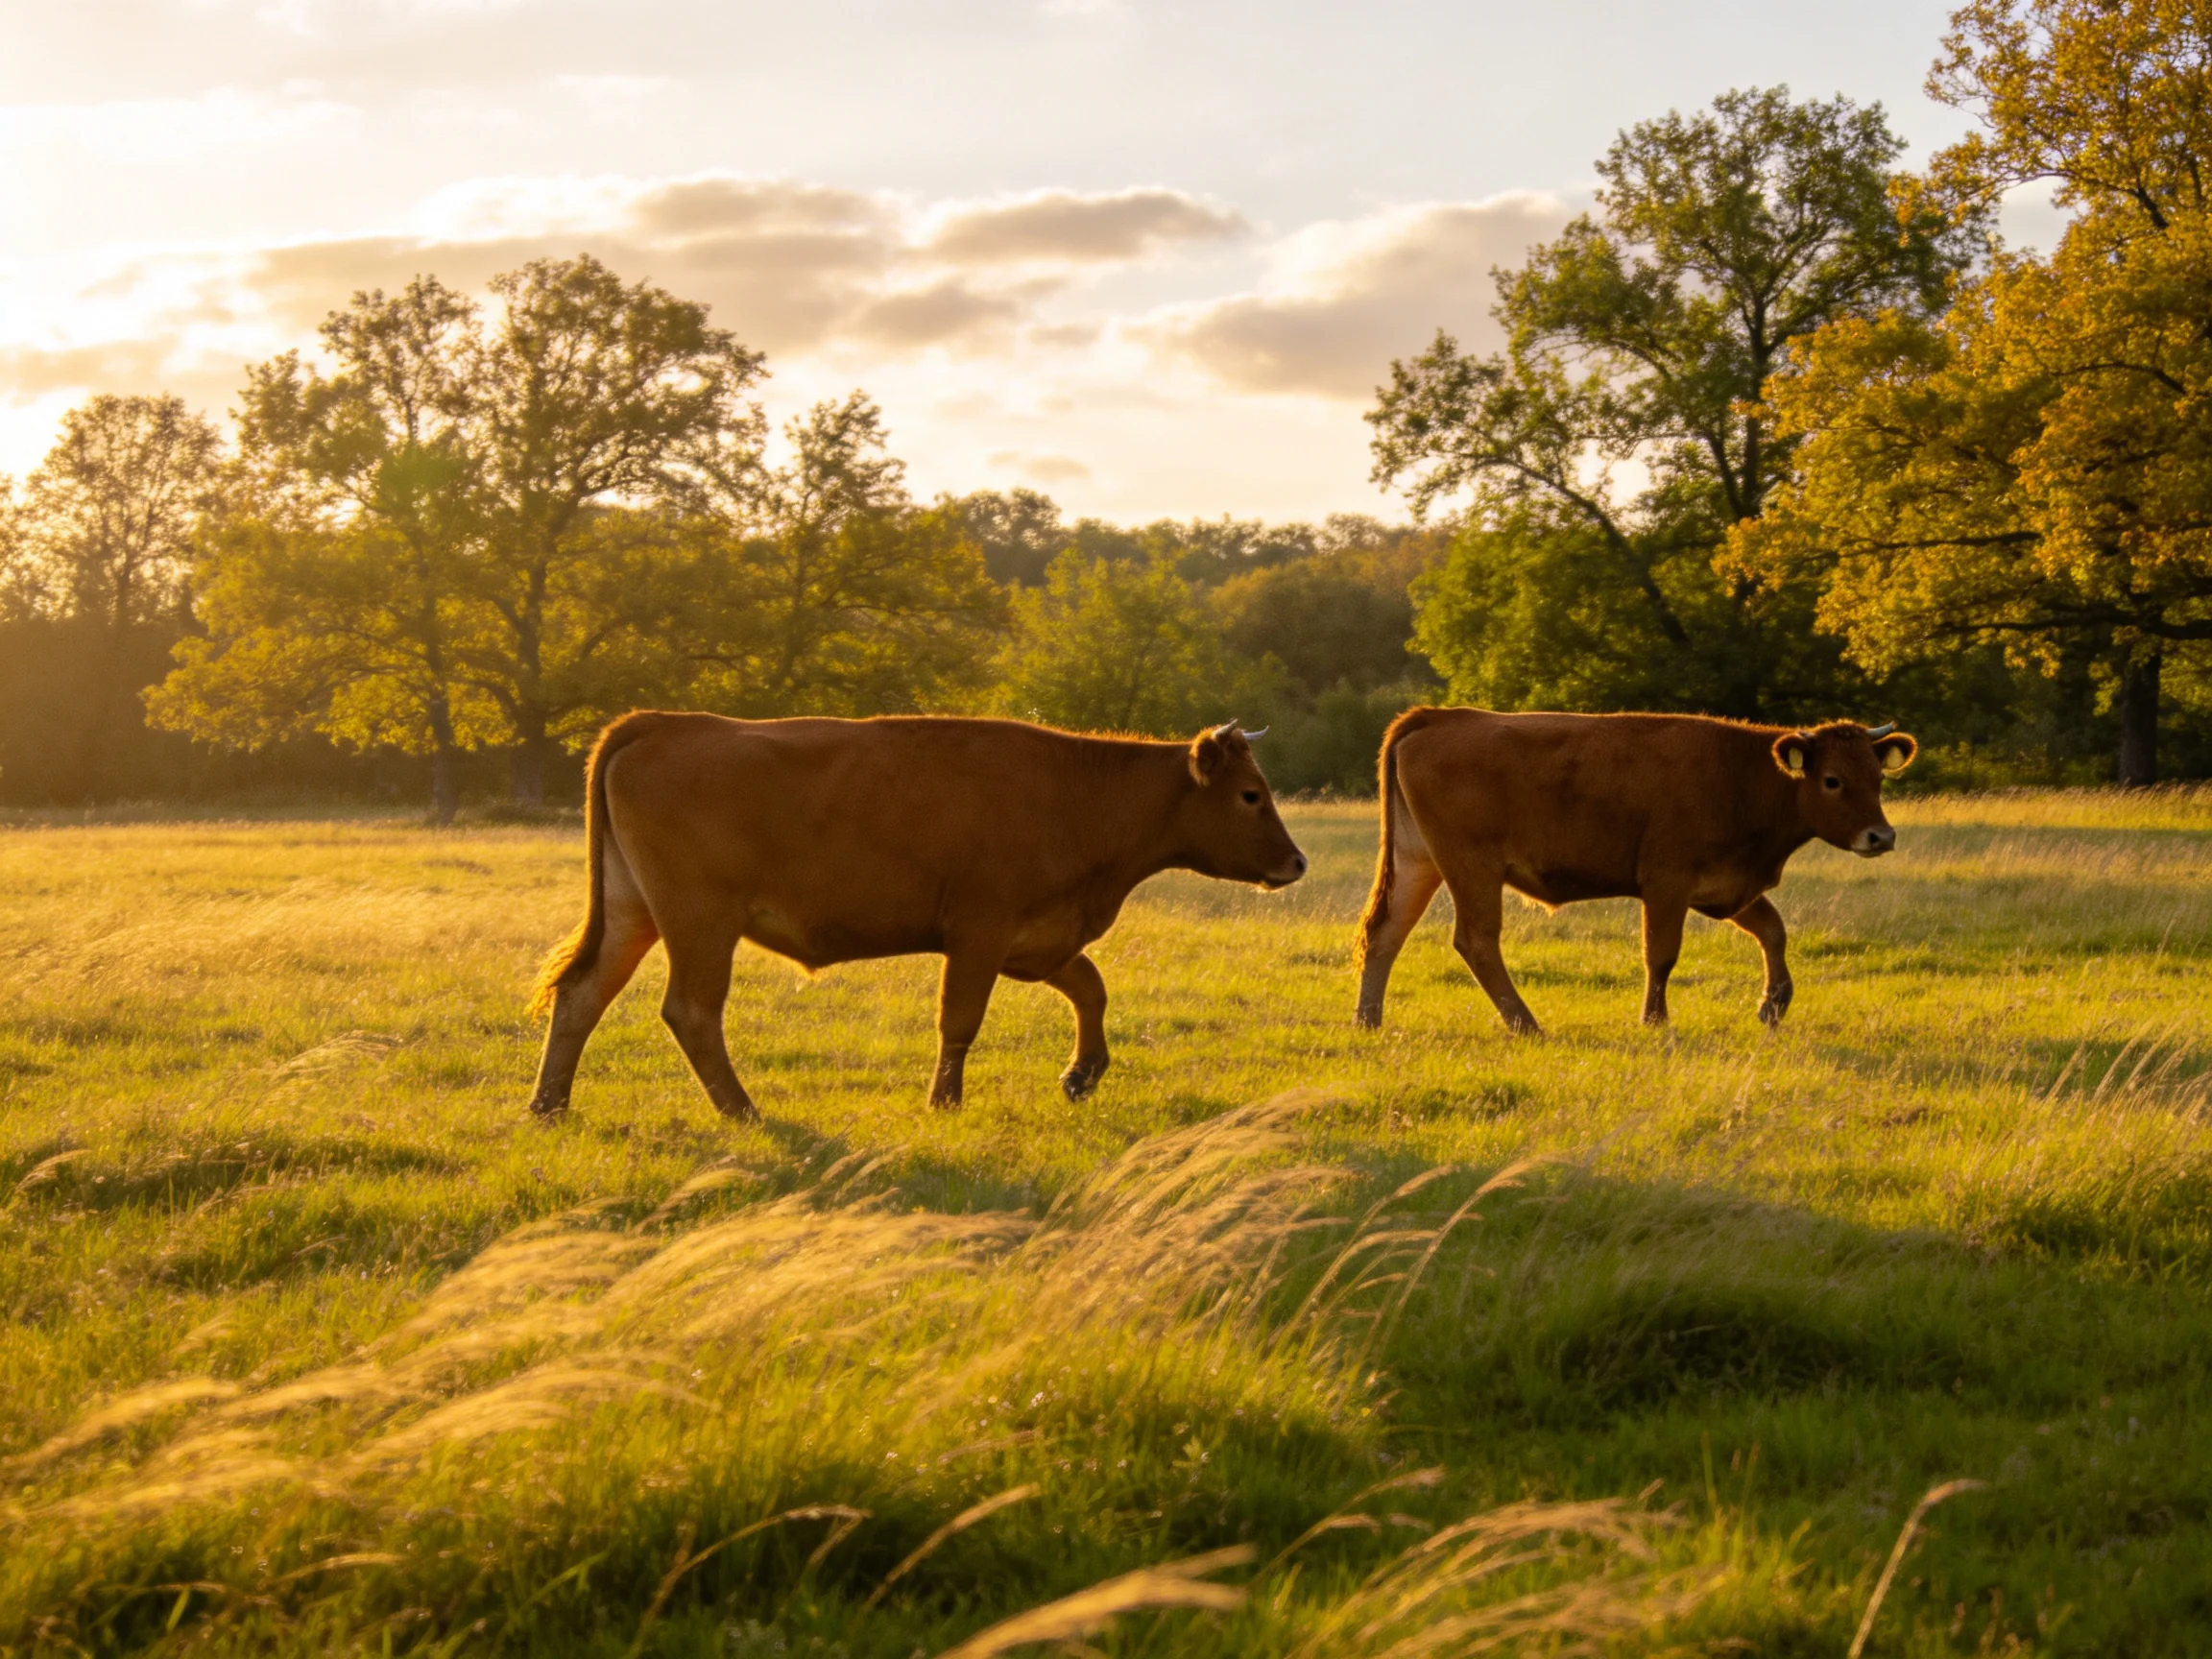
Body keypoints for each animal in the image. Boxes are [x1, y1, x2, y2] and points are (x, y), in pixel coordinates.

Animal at [526, 712, 1307, 1120]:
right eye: (1250, 795)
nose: (1297, 863)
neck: (1077, 795)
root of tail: (668, 725)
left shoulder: (1039, 940)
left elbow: (1091, 987)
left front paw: (1083, 1074)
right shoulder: (981, 934)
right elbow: (960, 1020)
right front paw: (945, 1101)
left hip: (634, 912)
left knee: (583, 994)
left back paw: (550, 1105)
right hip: (699, 923)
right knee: (691, 1011)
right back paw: (742, 1109)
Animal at [1353, 709, 1917, 1035]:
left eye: (1877, 776)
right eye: (1832, 780)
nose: (1881, 837)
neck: (1741, 775)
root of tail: (1440, 717)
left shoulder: (1725, 887)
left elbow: (1774, 932)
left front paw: (1774, 1005)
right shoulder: (1667, 883)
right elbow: (1661, 954)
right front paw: (1655, 1020)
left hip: (1419, 861)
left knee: (1386, 933)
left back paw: (1367, 1021)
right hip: (1472, 868)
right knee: (1476, 942)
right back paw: (1526, 1024)